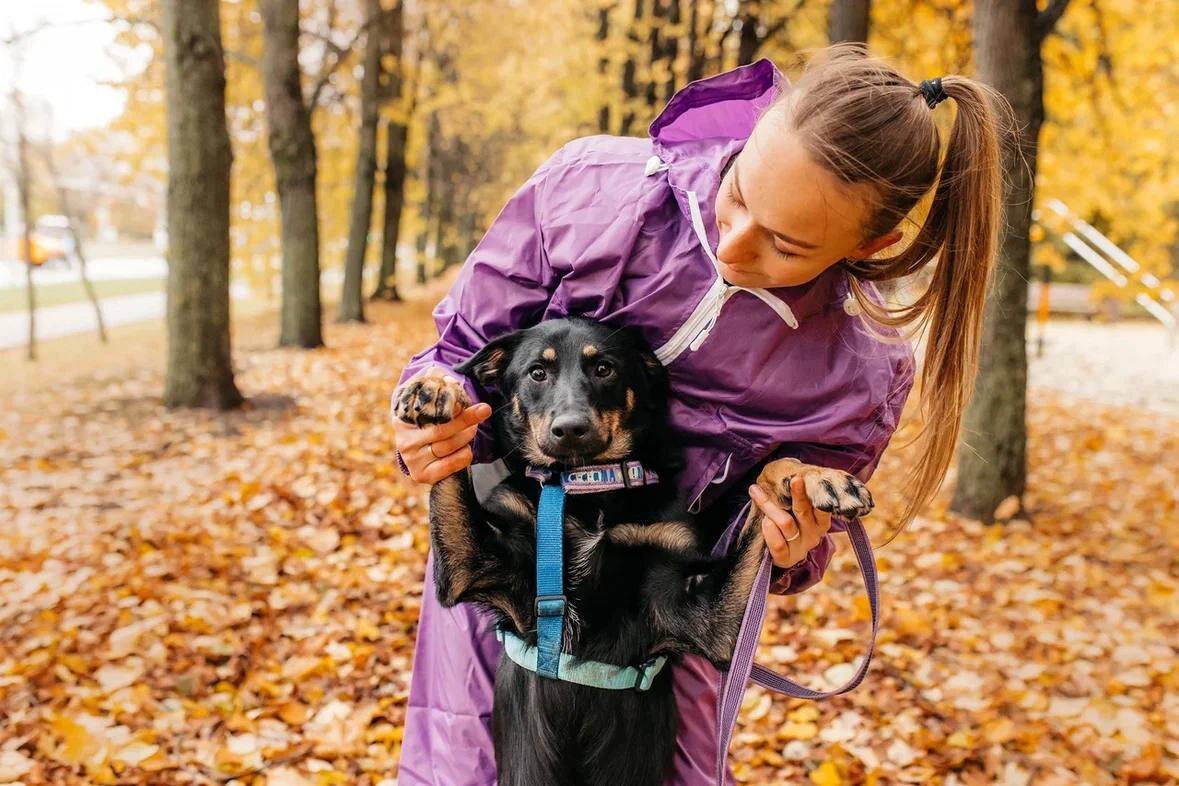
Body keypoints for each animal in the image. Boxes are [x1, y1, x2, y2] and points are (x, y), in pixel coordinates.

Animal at [396, 318, 877, 786]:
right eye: (537, 373)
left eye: (604, 368)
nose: (570, 429)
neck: (588, 487)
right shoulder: (471, 565)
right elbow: (449, 462)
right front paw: (436, 389)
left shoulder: (710, 623)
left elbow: (775, 468)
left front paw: (819, 476)